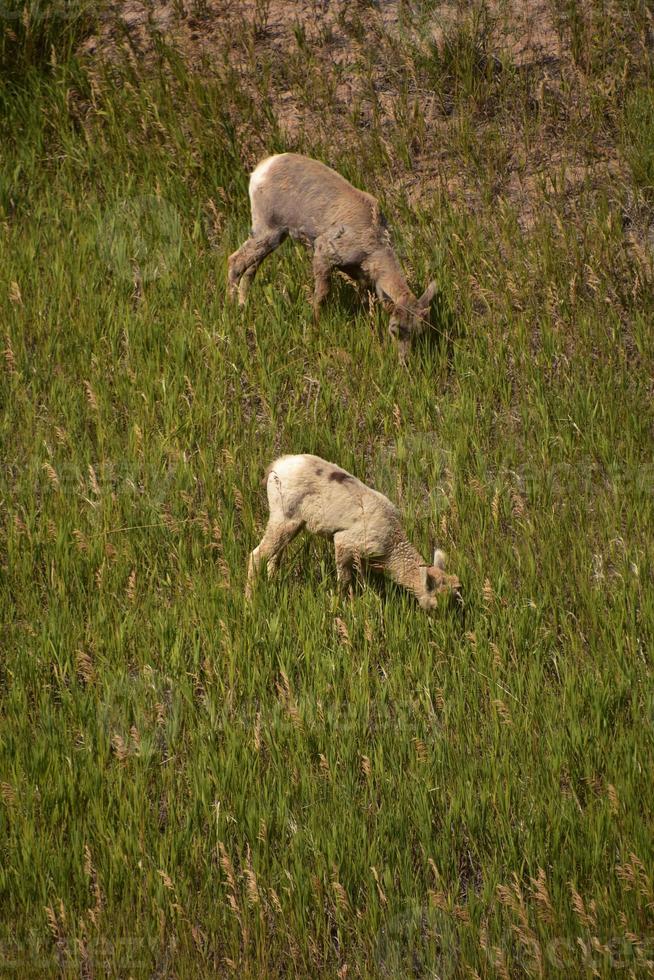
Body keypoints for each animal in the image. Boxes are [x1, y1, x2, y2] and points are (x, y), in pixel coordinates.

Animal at [228, 155, 438, 362]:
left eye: (419, 332)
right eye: (395, 329)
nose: (404, 362)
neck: (372, 240)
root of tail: (262, 168)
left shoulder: (361, 276)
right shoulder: (323, 255)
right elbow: (322, 294)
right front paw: (315, 329)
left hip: (272, 238)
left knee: (249, 268)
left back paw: (242, 305)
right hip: (268, 232)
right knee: (235, 262)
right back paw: (231, 309)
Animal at [245, 456, 462, 608]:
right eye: (438, 604)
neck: (393, 546)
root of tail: (277, 464)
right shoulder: (344, 541)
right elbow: (344, 580)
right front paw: (343, 605)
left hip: (290, 522)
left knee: (274, 556)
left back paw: (271, 585)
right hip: (282, 515)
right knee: (257, 555)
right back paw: (250, 600)